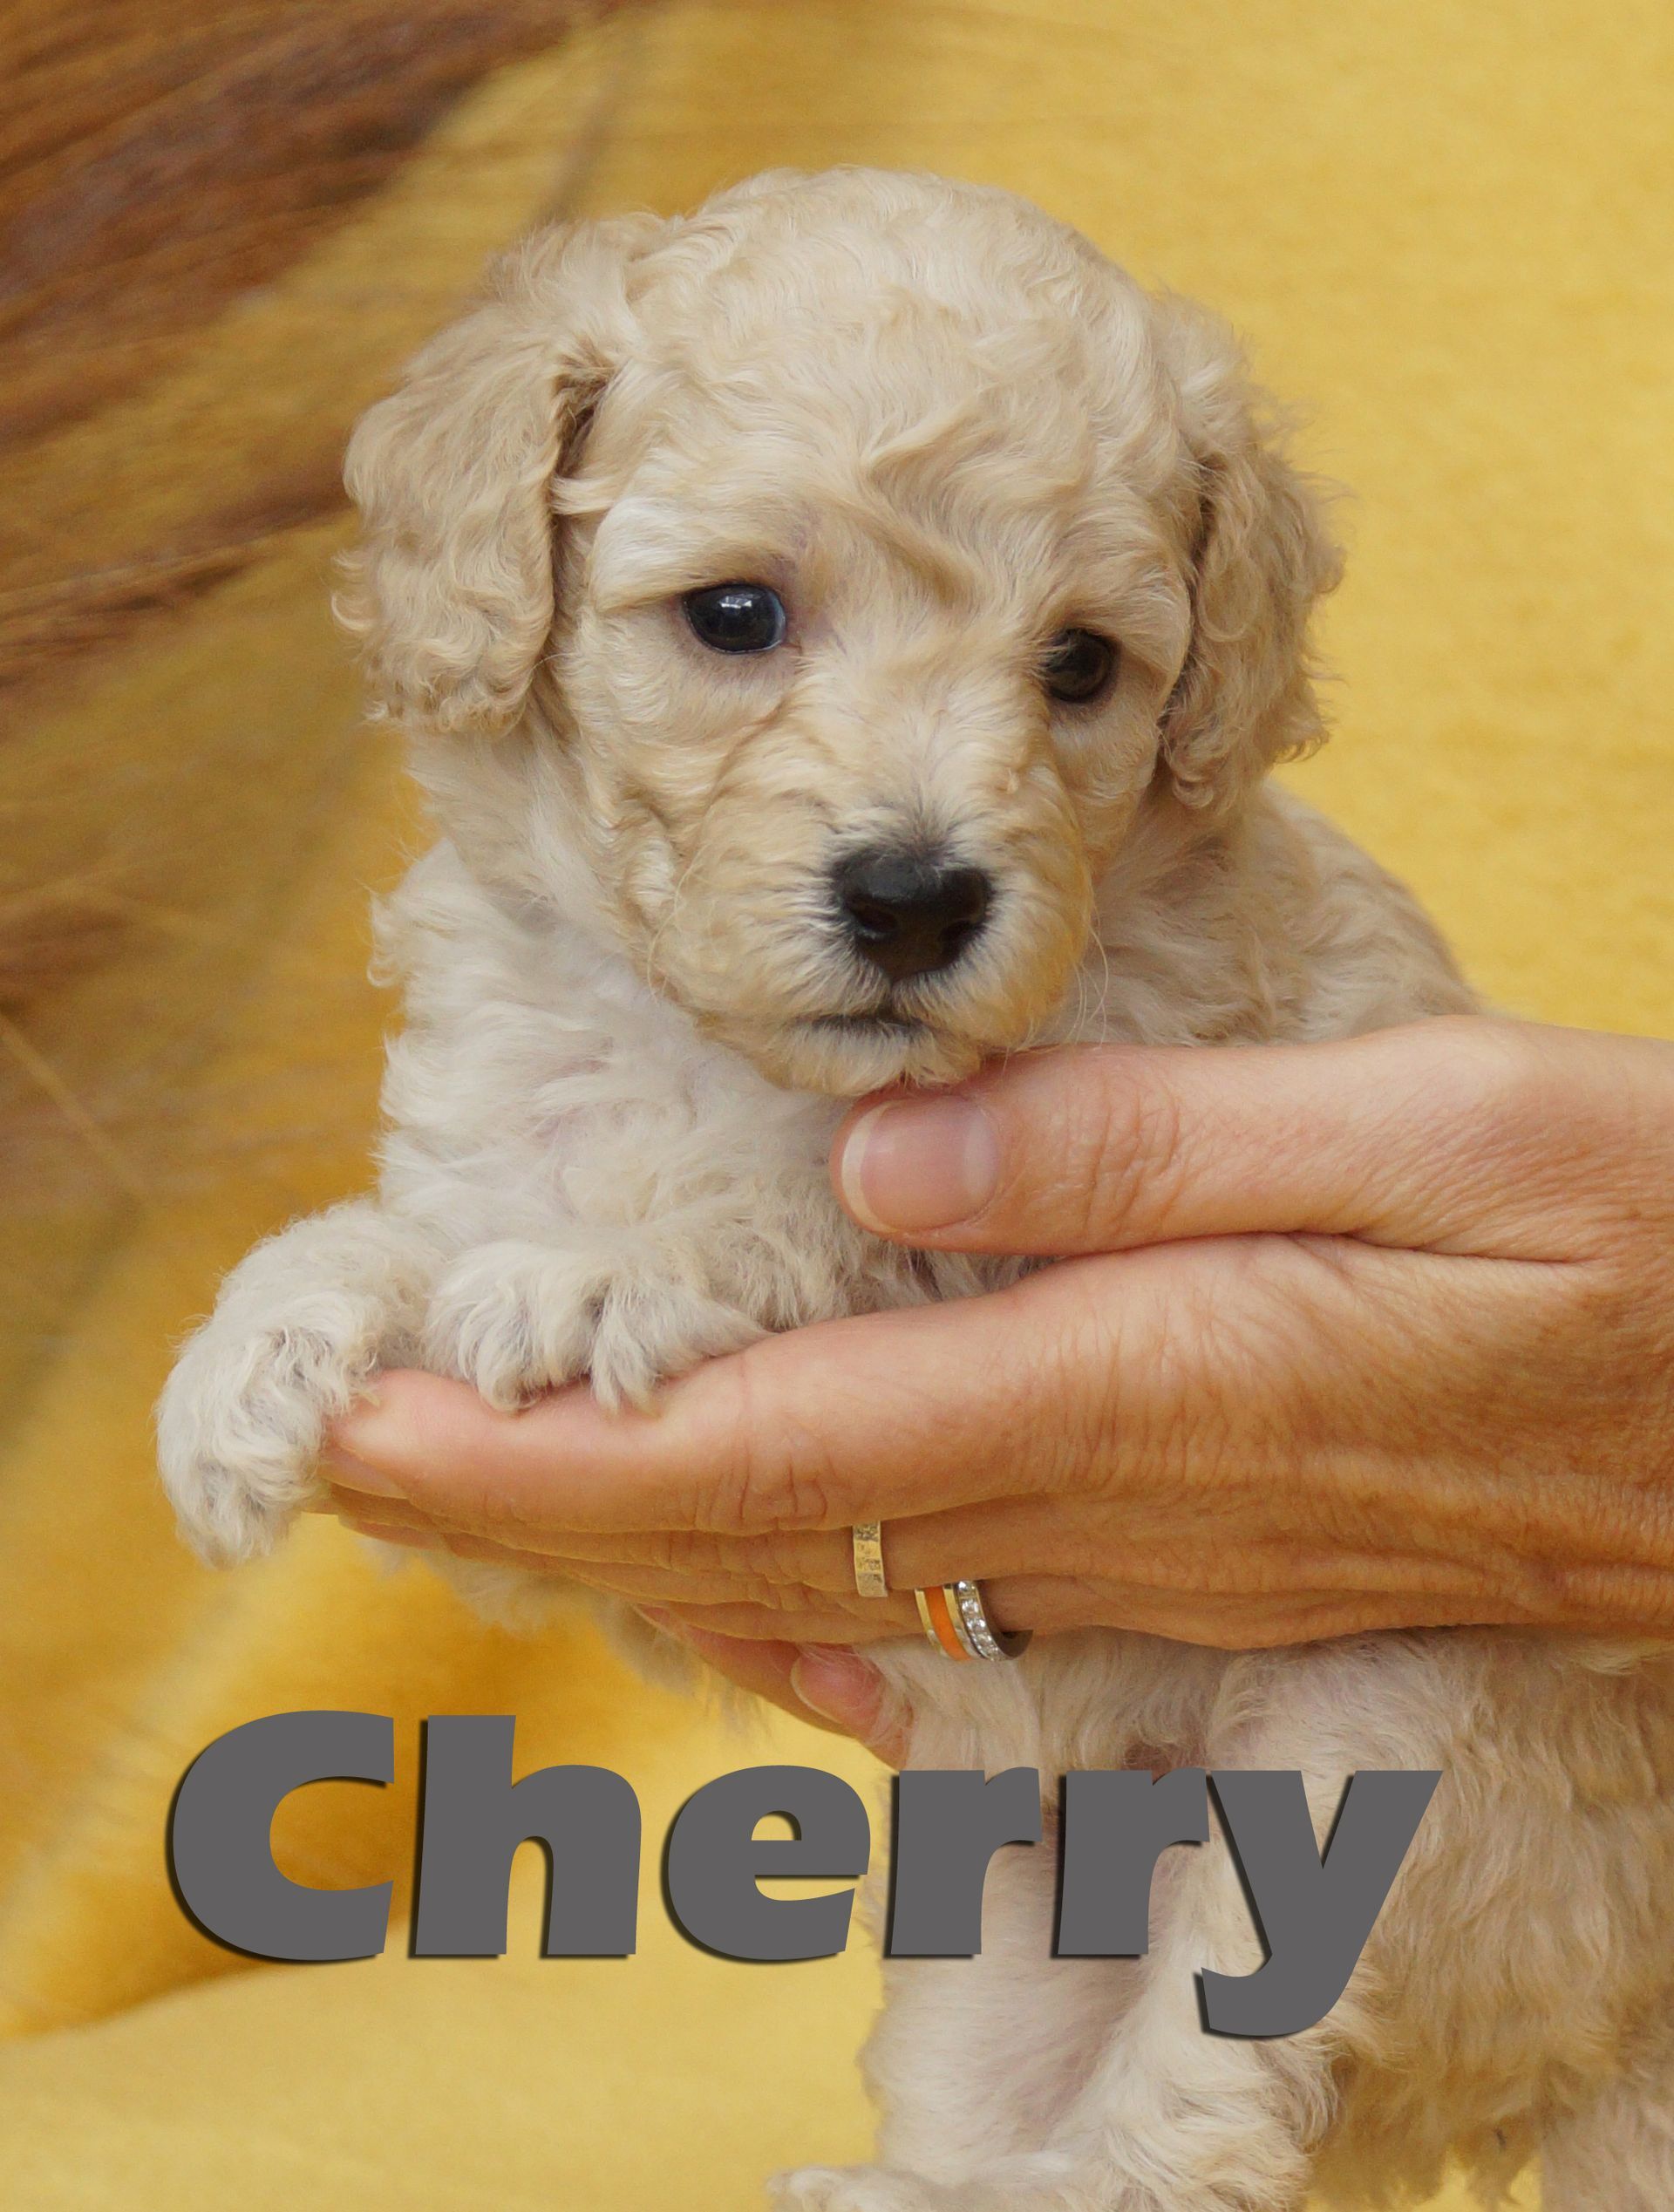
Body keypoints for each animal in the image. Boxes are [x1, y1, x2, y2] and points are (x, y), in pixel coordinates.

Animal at [157, 169, 1674, 2210]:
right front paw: (264, 1333)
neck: (724, 1046)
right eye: (735, 615)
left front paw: (602, 1266)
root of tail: (1605, 2045)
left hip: (1376, 1768)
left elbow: (816, 1220)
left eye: (1082, 666)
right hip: (1019, 1915)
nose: (914, 895)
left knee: (1197, 2121)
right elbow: (418, 1226)